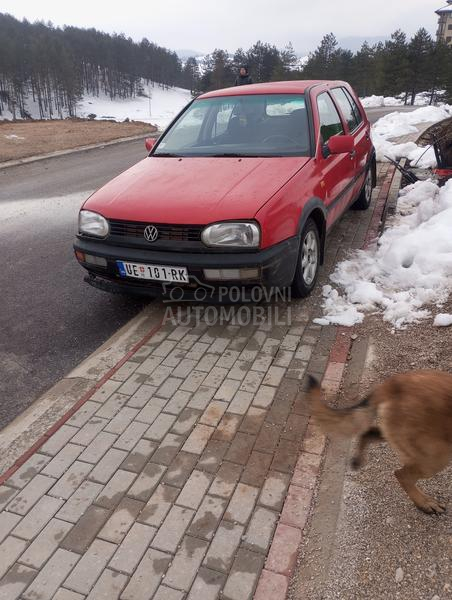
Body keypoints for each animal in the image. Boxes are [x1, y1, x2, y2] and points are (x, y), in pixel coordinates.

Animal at [308, 370, 452, 516]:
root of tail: (393, 384)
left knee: (367, 433)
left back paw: (357, 459)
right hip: (435, 456)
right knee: (402, 475)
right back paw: (425, 503)